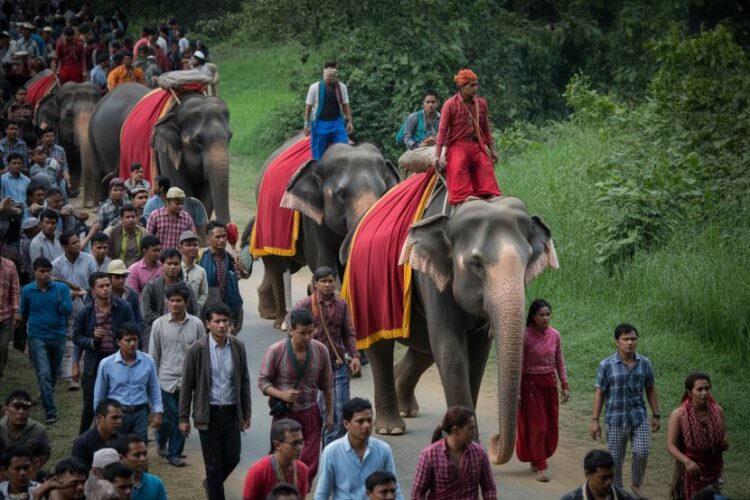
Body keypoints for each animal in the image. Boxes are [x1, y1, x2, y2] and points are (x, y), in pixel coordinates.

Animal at [88, 83, 233, 222]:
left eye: (230, 136)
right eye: (197, 140)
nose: (230, 227)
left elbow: (206, 196)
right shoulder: (165, 152)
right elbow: (182, 189)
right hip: (92, 138)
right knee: (98, 174)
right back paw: (97, 208)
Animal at [241, 133, 400, 328]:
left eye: (384, 192)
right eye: (342, 194)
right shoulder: (310, 217)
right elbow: (323, 261)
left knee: (290, 265)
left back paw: (268, 312)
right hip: (268, 220)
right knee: (277, 265)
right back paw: (280, 321)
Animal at [341, 184, 558, 465]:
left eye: (528, 260)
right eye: (476, 263)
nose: (495, 441)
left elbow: (476, 357)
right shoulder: (432, 281)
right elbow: (451, 352)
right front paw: (471, 440)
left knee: (425, 348)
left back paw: (406, 406)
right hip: (369, 293)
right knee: (382, 348)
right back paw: (392, 427)